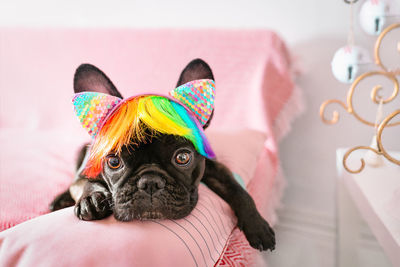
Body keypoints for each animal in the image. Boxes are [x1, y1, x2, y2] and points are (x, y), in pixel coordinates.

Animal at [50, 59, 276, 252]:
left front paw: (257, 225)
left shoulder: (216, 169)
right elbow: (83, 184)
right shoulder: (84, 172)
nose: (150, 182)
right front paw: (91, 199)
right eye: (114, 161)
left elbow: (238, 190)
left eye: (183, 158)